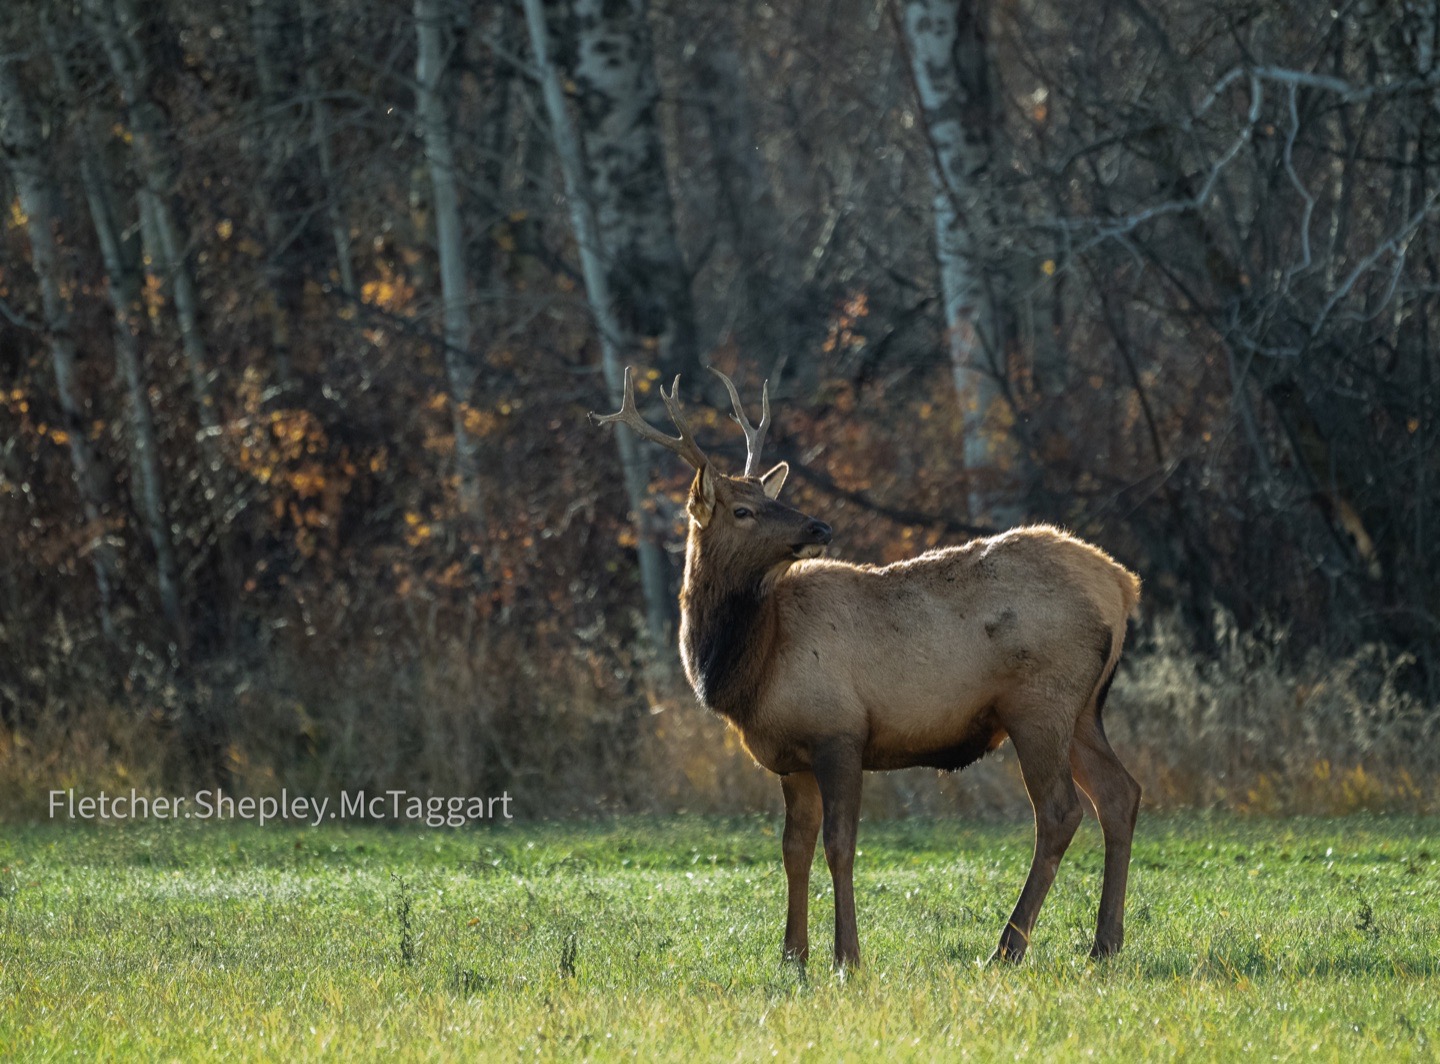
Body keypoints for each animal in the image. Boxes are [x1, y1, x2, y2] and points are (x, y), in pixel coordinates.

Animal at [591, 366, 1142, 968]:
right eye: (743, 509)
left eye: (765, 497)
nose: (818, 527)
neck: (749, 664)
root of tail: (1123, 585)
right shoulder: (791, 758)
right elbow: (793, 849)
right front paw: (792, 955)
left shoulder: (839, 732)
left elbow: (839, 846)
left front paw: (846, 956)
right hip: (1083, 709)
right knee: (1120, 794)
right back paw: (1105, 944)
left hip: (1039, 703)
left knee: (1061, 811)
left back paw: (1009, 946)